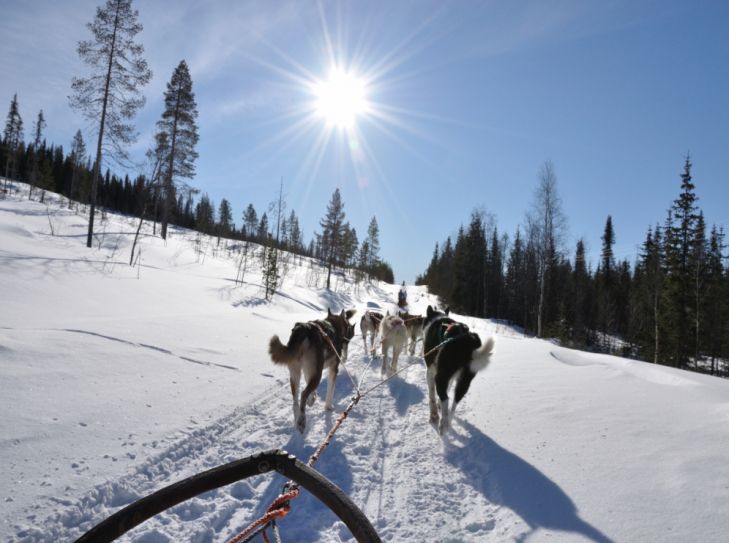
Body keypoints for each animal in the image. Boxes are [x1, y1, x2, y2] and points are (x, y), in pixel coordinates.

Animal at [420, 306, 494, 434]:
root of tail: (468, 342)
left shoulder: (431, 372)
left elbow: (432, 395)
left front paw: (434, 415)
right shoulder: (451, 377)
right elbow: (448, 389)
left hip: (441, 377)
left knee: (446, 398)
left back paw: (443, 425)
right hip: (465, 380)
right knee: (455, 402)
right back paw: (448, 422)